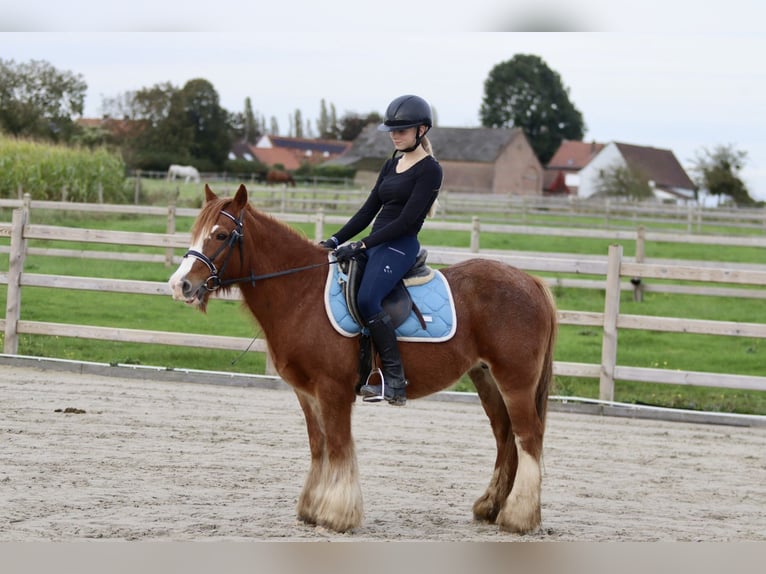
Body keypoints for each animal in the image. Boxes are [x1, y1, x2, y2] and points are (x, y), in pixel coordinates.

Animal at [168, 184, 560, 536]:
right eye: (196, 232)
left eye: (220, 235)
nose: (179, 285)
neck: (303, 294)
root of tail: (531, 282)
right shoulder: (307, 393)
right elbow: (319, 446)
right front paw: (311, 508)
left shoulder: (333, 390)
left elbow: (340, 446)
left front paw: (337, 515)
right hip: (486, 378)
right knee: (506, 437)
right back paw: (491, 508)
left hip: (515, 381)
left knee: (528, 437)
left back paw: (519, 519)